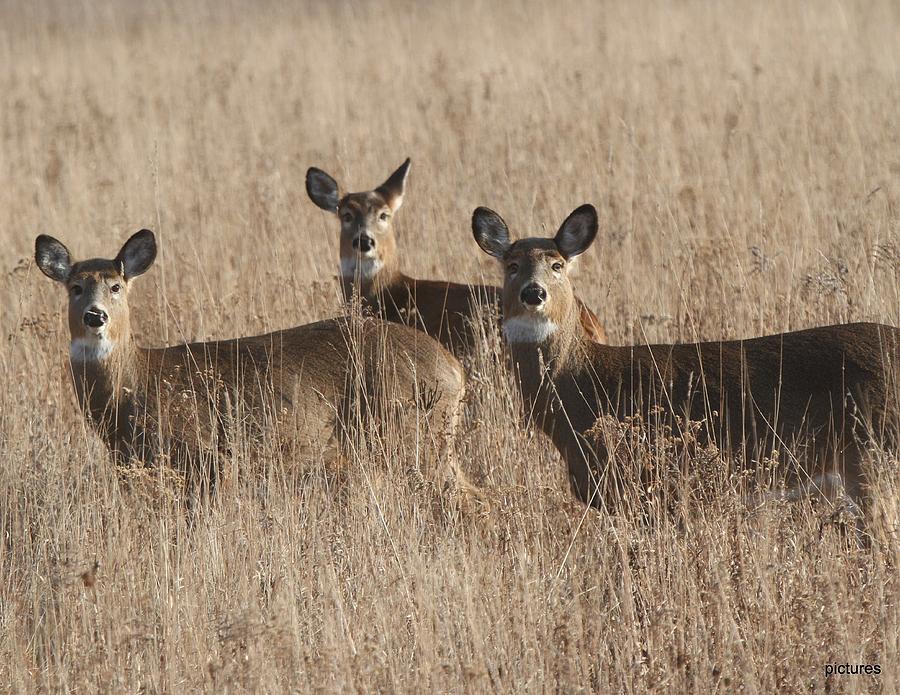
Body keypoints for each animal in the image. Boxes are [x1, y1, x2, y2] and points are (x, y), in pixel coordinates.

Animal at [31, 228, 474, 500]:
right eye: (75, 287)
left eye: (116, 286)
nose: (95, 316)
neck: (136, 386)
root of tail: (454, 370)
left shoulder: (205, 456)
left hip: (409, 432)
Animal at [474, 204, 896, 524]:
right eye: (511, 265)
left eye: (557, 264)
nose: (534, 293)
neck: (583, 388)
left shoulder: (651, 486)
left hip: (871, 456)